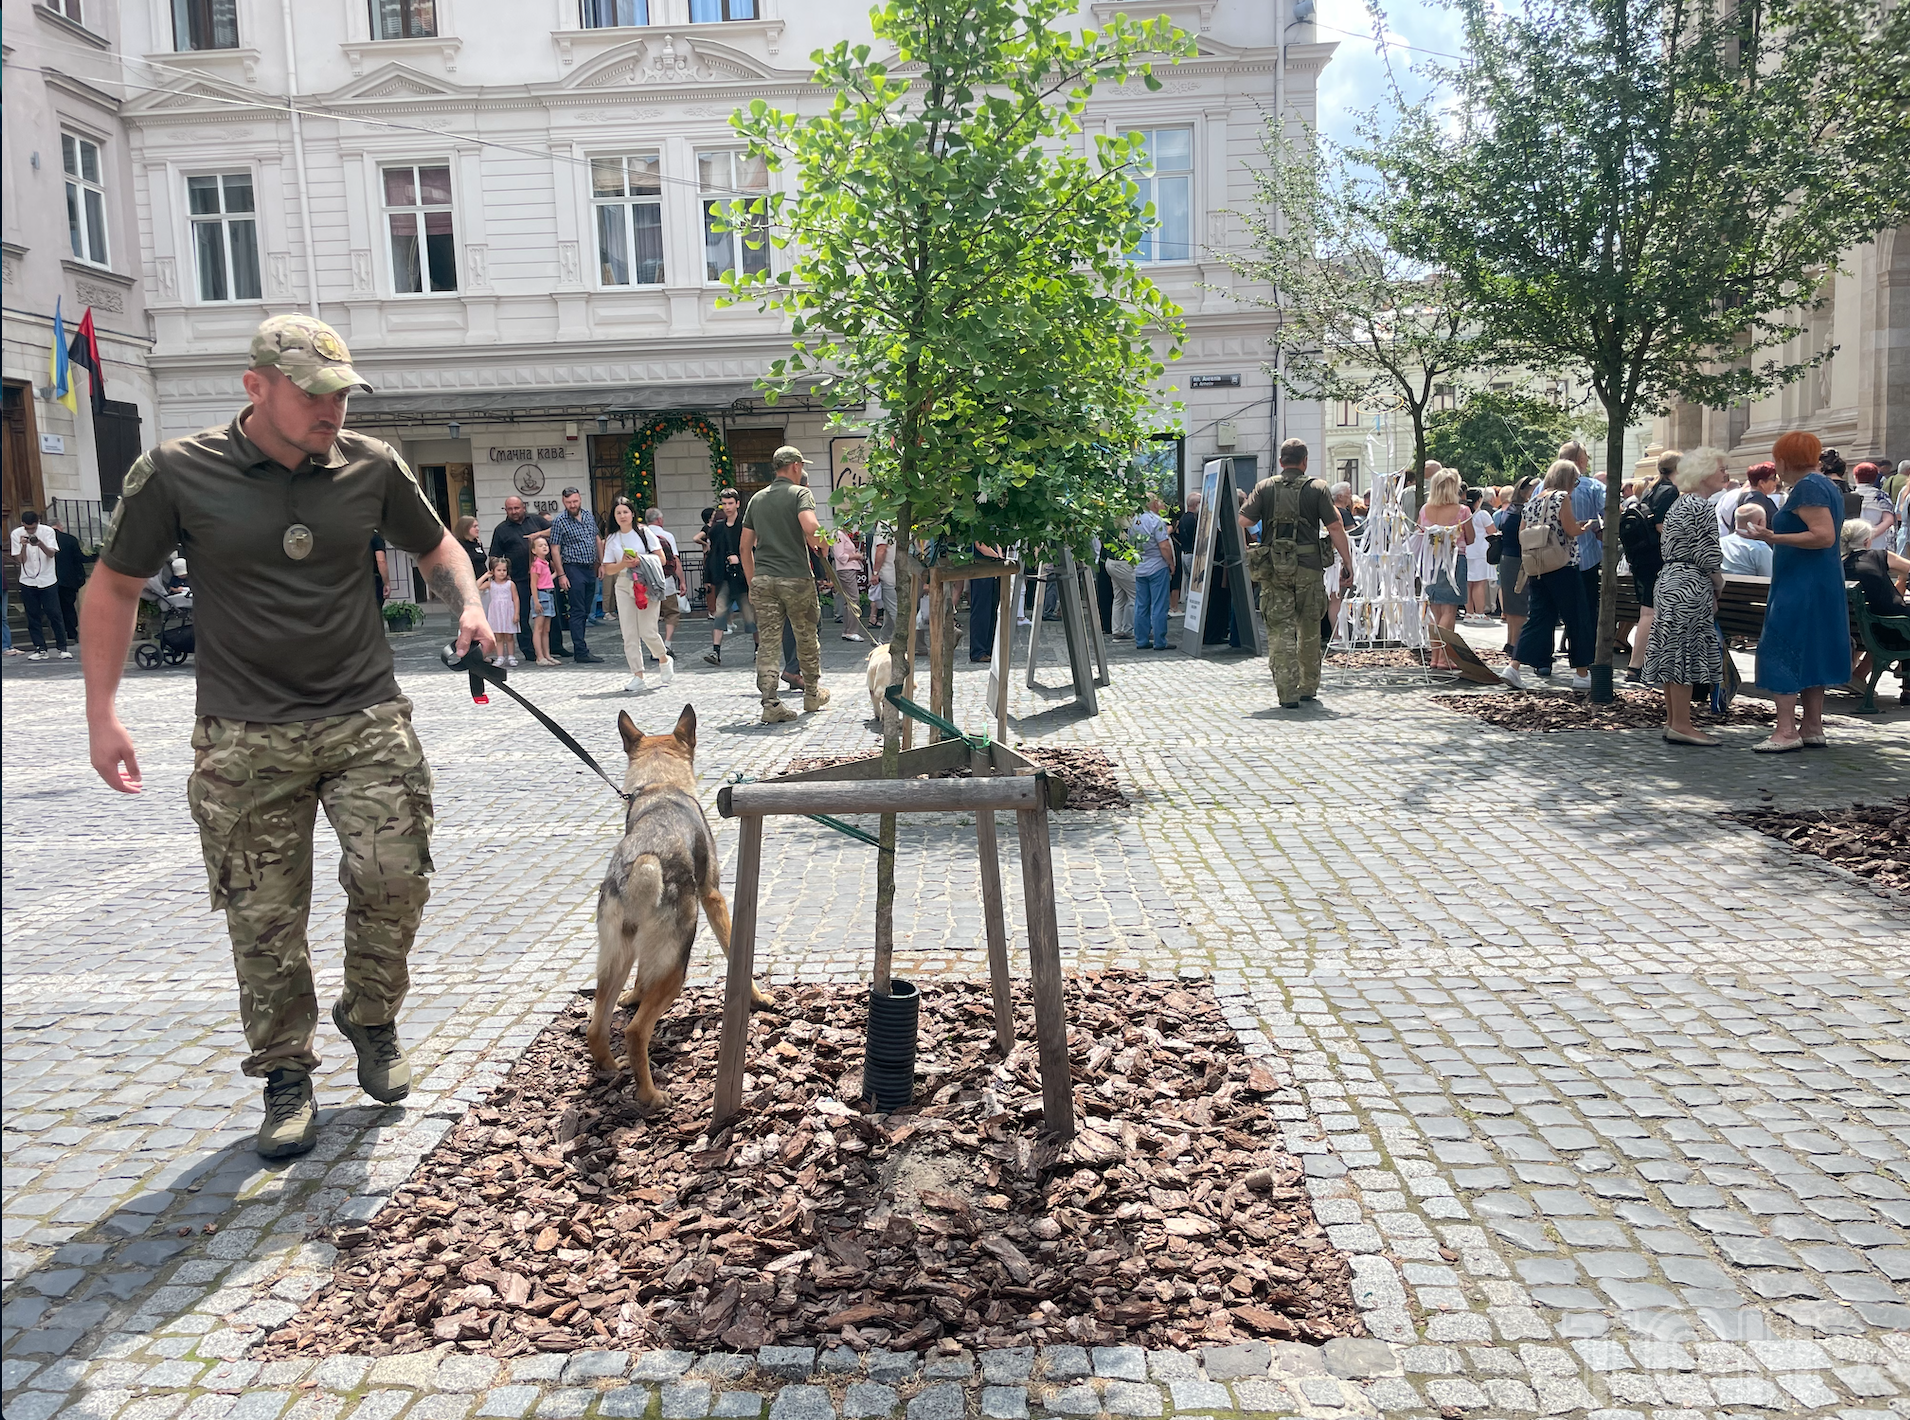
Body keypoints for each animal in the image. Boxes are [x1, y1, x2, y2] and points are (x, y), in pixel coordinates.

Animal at [595, 710, 775, 1108]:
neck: (660, 786)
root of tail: (641, 863)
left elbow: (640, 980)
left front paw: (634, 995)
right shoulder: (714, 898)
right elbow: (735, 953)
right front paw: (758, 998)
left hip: (614, 962)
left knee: (595, 1029)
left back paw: (609, 1067)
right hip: (676, 968)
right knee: (635, 1031)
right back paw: (651, 1095)